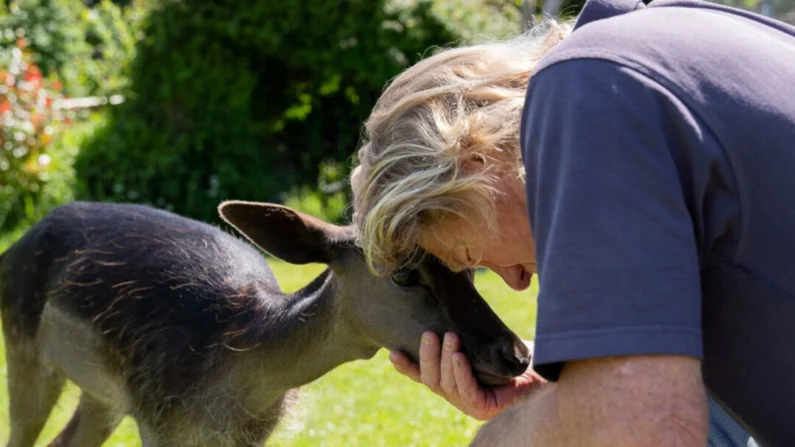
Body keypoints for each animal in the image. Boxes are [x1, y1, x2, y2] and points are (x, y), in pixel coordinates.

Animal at [1, 202, 536, 447]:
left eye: (468, 269)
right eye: (403, 273)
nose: (514, 353)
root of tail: (14, 247)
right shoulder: (158, 420)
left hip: (103, 396)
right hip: (23, 350)